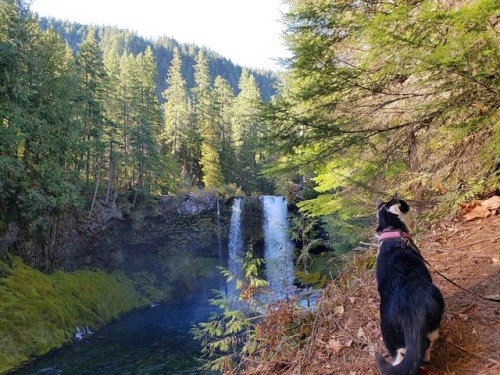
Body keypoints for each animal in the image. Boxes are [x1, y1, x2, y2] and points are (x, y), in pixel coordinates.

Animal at [376, 197, 446, 375]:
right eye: (405, 205)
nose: (412, 207)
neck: (392, 232)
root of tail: (410, 311)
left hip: (392, 335)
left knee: (401, 357)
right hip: (432, 324)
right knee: (424, 348)